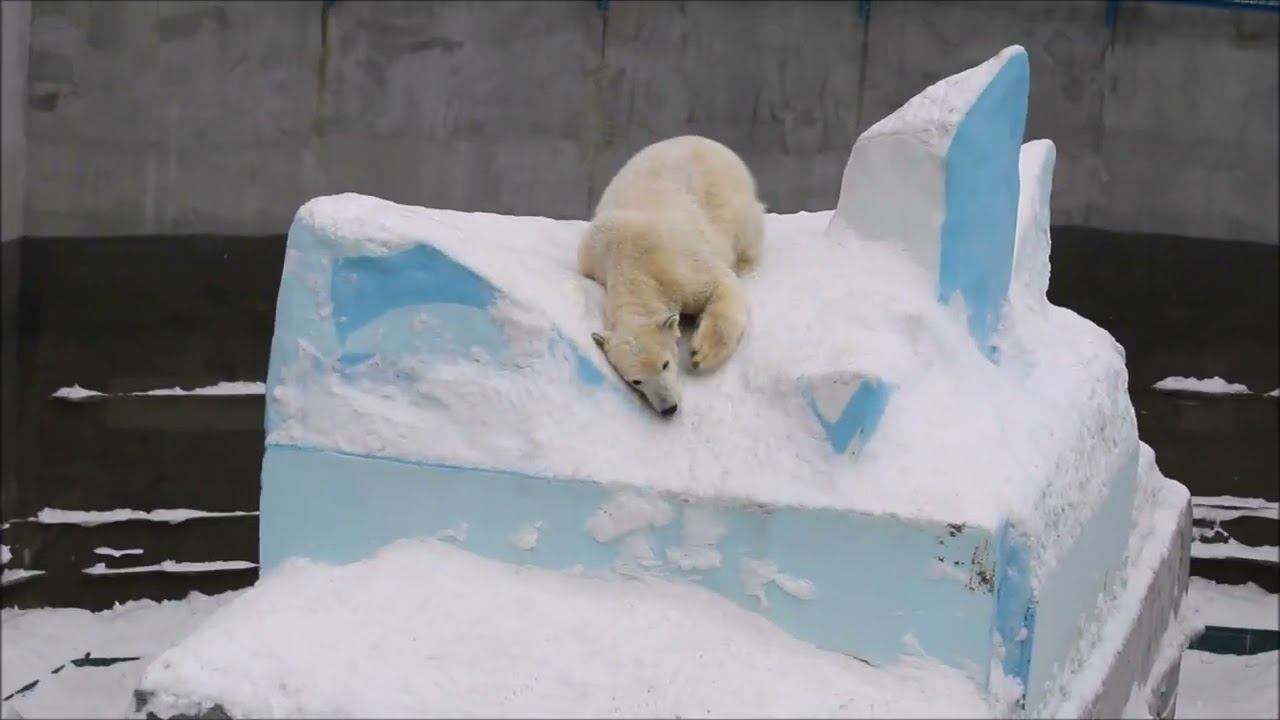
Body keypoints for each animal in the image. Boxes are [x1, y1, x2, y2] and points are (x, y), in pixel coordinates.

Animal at [579, 135, 765, 417]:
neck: (628, 262)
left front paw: (702, 354)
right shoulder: (592, 260)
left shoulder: (675, 266)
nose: (668, 408)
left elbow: (721, 283)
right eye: (636, 381)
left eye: (665, 364)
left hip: (729, 197)